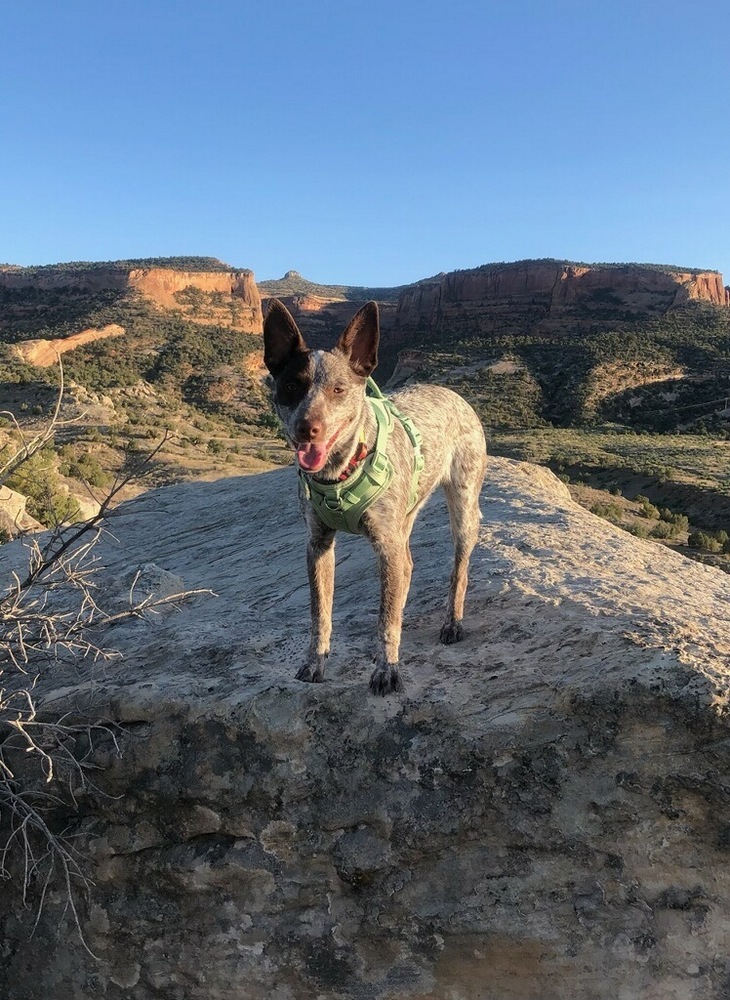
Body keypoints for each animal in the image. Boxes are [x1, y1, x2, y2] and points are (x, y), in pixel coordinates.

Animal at [262, 296, 484, 696]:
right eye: (291, 386)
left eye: (338, 390)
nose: (307, 428)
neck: (339, 474)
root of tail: (452, 392)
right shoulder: (318, 544)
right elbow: (321, 615)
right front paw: (315, 663)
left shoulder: (385, 543)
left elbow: (385, 620)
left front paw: (387, 670)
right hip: (404, 517)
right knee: (407, 565)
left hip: (462, 507)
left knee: (458, 568)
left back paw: (452, 622)